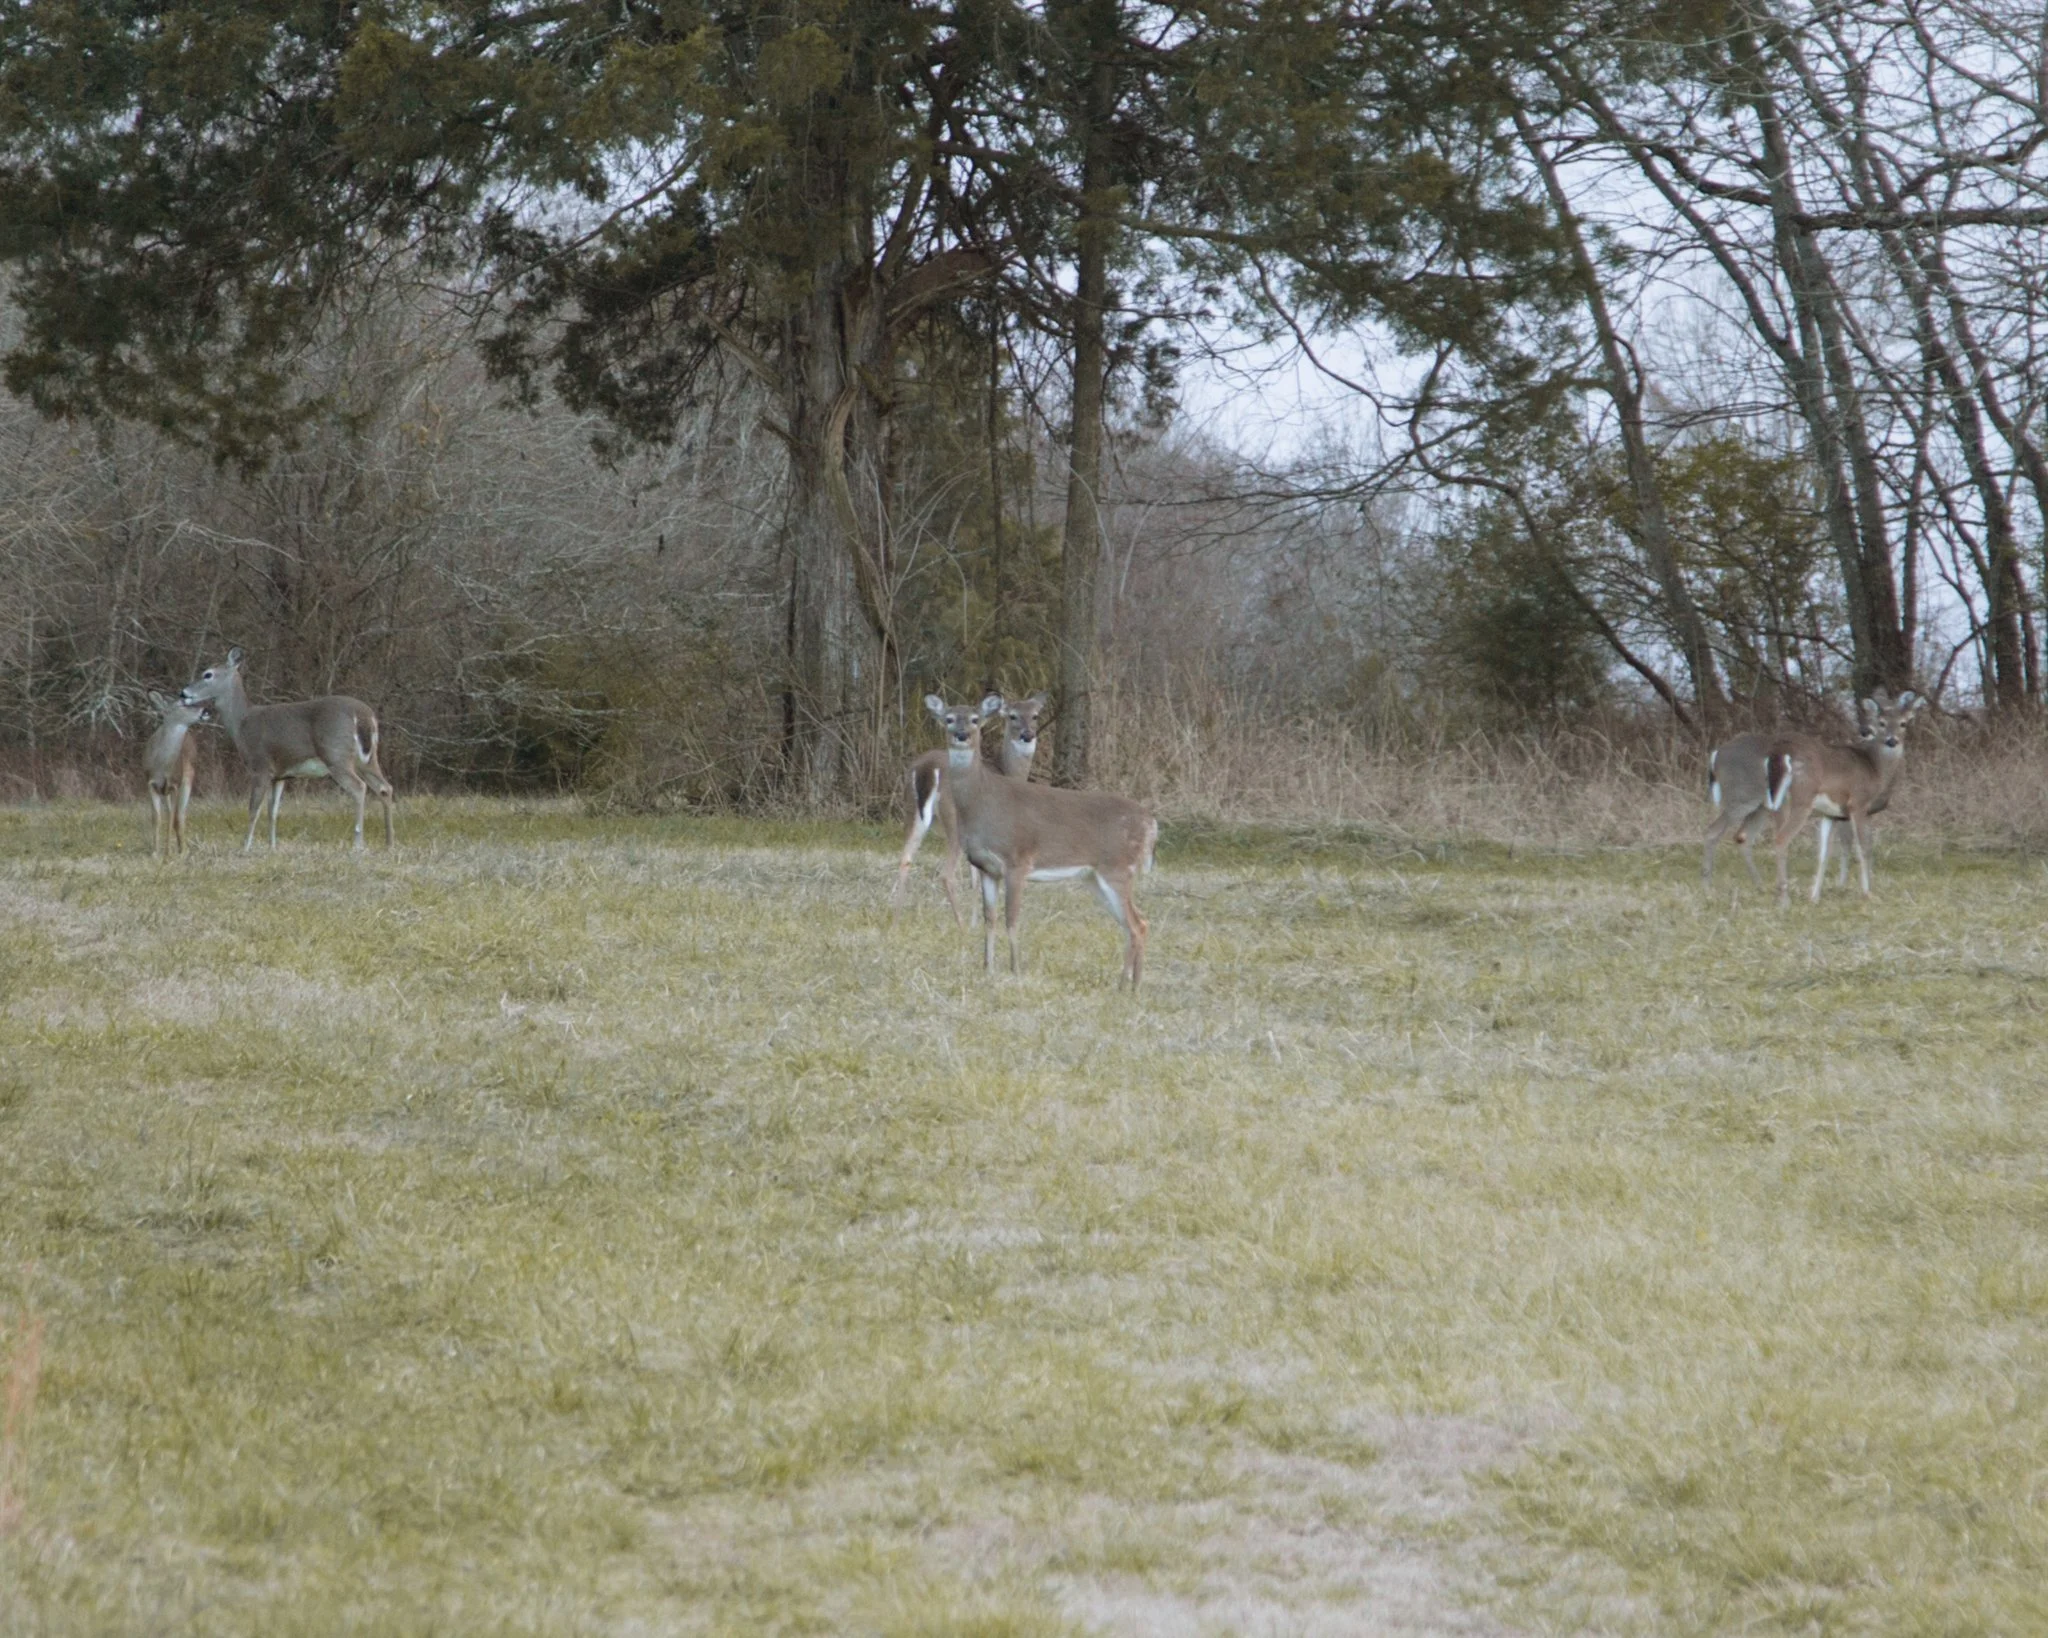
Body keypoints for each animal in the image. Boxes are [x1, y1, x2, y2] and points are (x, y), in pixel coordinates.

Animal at [143, 691, 209, 859]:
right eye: (183, 703)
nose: (205, 711)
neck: (162, 765)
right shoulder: (150, 783)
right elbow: (157, 818)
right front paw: (154, 852)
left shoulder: (175, 784)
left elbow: (172, 818)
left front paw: (167, 853)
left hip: (188, 779)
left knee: (180, 815)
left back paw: (183, 850)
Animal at [179, 647, 395, 852]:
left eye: (208, 674)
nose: (183, 694)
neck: (242, 723)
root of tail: (365, 716)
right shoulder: (280, 775)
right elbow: (272, 811)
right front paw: (272, 846)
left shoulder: (261, 766)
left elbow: (253, 809)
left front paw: (245, 846)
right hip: (367, 759)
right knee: (384, 787)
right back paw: (389, 842)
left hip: (336, 755)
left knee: (359, 787)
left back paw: (358, 843)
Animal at [893, 690, 1046, 923]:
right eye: (1012, 716)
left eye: (1035, 715)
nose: (1028, 735)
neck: (1007, 772)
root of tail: (927, 768)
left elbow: (974, 877)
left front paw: (976, 920)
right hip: (952, 817)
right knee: (946, 874)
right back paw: (960, 924)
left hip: (911, 810)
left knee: (905, 859)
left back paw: (895, 918)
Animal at [923, 694, 1157, 987]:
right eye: (949, 718)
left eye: (975, 719)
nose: (962, 735)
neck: (983, 802)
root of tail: (1151, 823)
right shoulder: (986, 868)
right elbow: (991, 918)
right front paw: (987, 967)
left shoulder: (1017, 862)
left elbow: (1012, 918)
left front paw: (1015, 969)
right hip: (1094, 877)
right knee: (1136, 922)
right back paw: (1129, 985)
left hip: (1117, 869)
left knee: (1137, 924)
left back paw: (1127, 986)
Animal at [1762, 690, 1923, 905]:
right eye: (1881, 722)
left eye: (1903, 723)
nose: (1892, 740)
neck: (1875, 769)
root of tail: (1780, 754)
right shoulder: (1858, 803)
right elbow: (1864, 848)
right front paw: (1868, 893)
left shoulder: (1832, 814)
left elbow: (1823, 854)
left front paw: (1814, 897)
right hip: (1802, 797)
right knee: (1781, 839)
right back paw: (1784, 900)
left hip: (1779, 801)